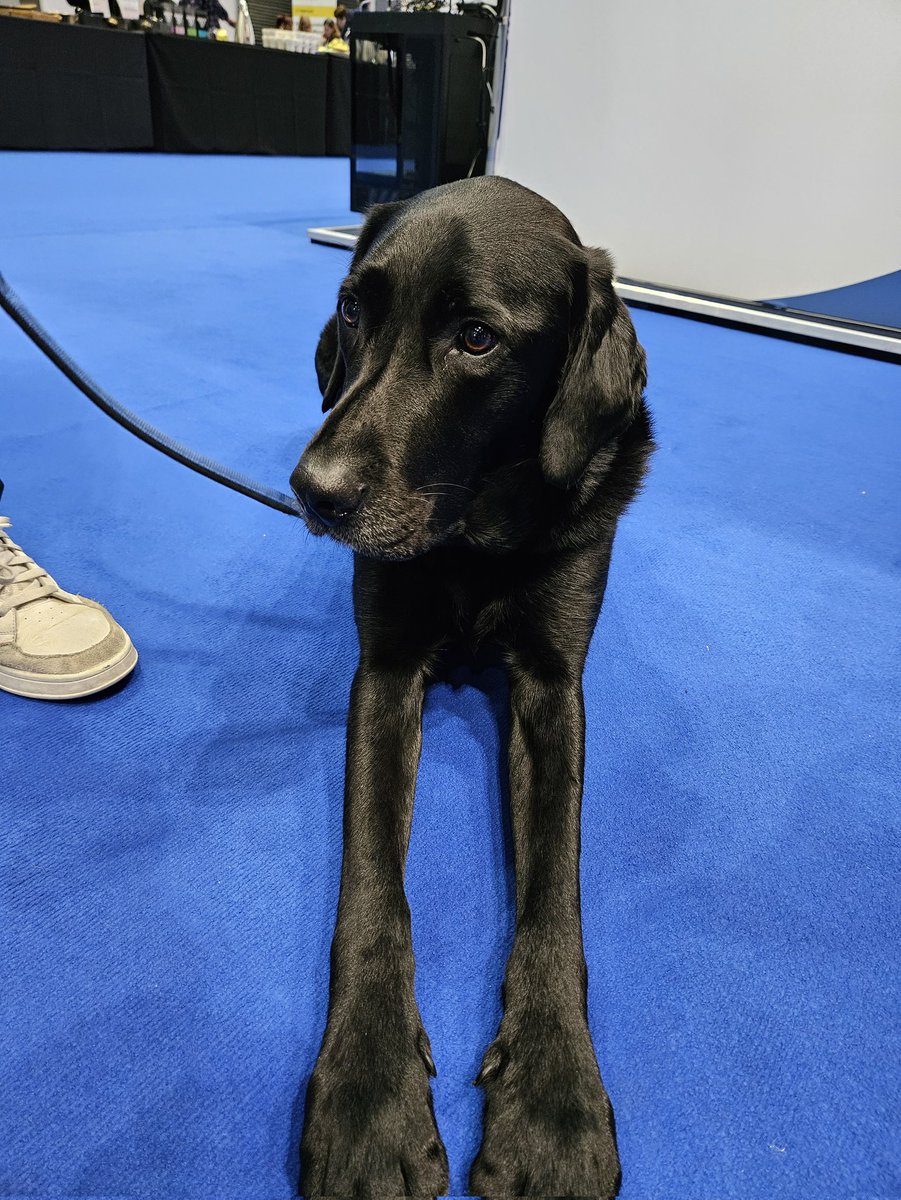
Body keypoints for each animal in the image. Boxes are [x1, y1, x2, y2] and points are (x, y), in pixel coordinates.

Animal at [292, 174, 652, 1195]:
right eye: (352, 310)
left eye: (477, 339)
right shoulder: (382, 673)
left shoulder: (552, 689)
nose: (312, 490)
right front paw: (368, 1098)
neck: (473, 537)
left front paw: (555, 1100)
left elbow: (554, 898)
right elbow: (370, 889)